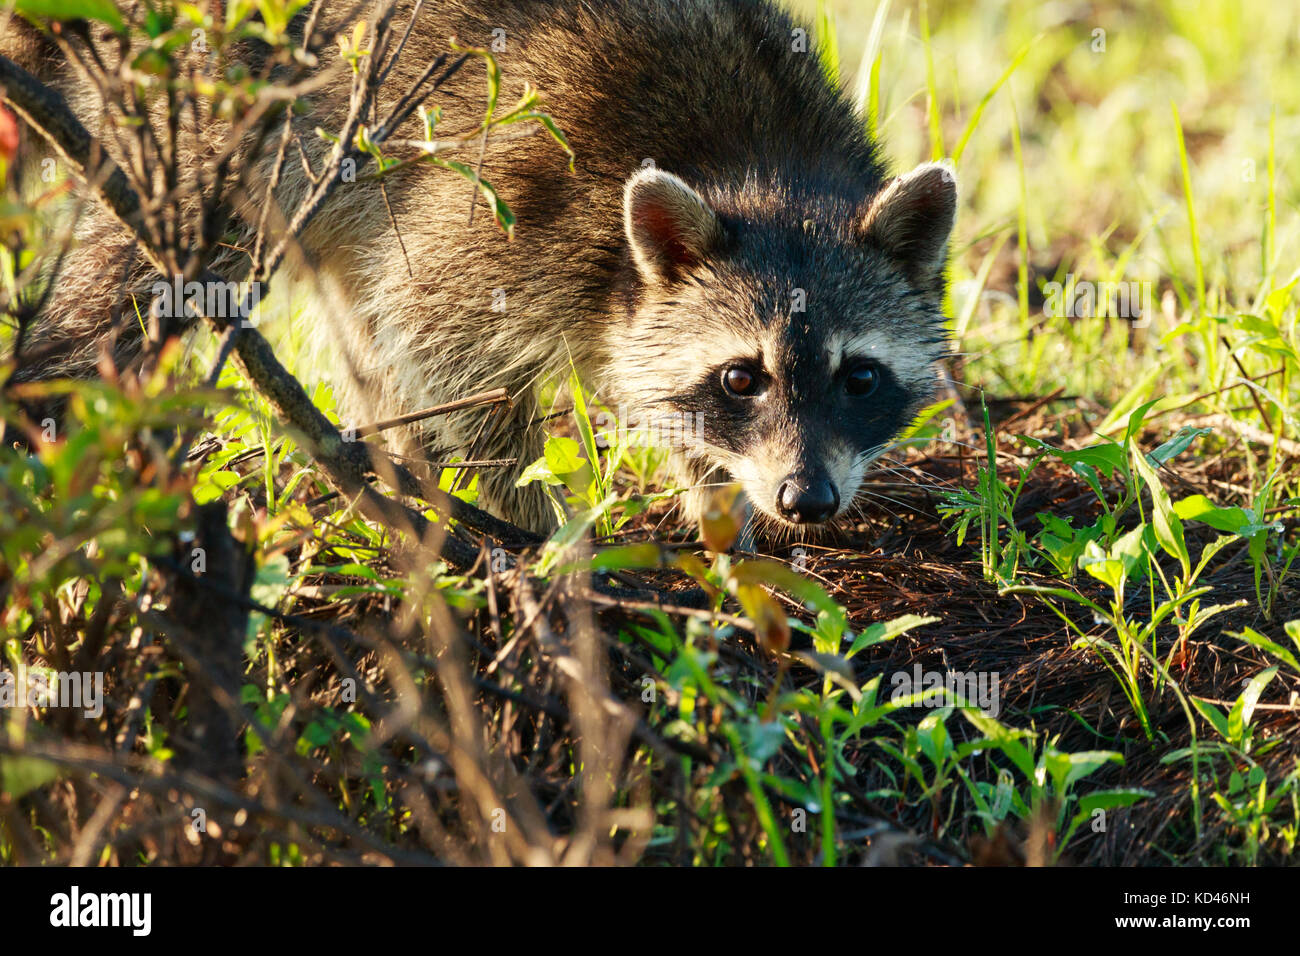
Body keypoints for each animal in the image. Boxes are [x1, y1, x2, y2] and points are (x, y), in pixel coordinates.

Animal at [0, 0, 956, 538]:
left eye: (860, 377)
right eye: (740, 377)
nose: (807, 500)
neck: (764, 165)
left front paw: (719, 502)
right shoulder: (518, 197)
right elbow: (437, 343)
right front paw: (543, 525)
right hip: (201, 96)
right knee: (141, 277)